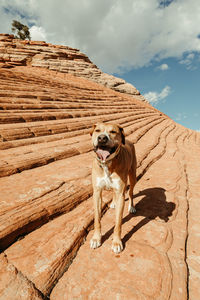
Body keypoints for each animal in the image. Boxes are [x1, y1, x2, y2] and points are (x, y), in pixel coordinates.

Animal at [90, 122, 137, 253]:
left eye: (113, 132)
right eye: (97, 130)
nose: (102, 138)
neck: (107, 164)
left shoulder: (121, 193)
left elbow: (118, 223)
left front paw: (117, 242)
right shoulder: (97, 193)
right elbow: (97, 219)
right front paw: (96, 238)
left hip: (133, 177)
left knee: (130, 193)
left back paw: (131, 207)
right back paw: (113, 203)